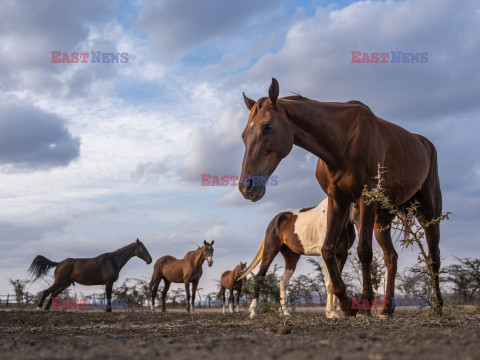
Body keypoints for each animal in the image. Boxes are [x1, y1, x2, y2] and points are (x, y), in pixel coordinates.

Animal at [238, 79, 444, 318]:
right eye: (244, 135)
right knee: (391, 258)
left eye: (268, 127)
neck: (342, 141)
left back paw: (438, 306)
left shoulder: (364, 199)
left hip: (428, 212)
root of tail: (423, 143)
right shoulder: (338, 199)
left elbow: (364, 251)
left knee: (433, 256)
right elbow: (328, 249)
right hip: (381, 218)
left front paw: (364, 303)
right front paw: (346, 304)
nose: (247, 187)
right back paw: (386, 309)